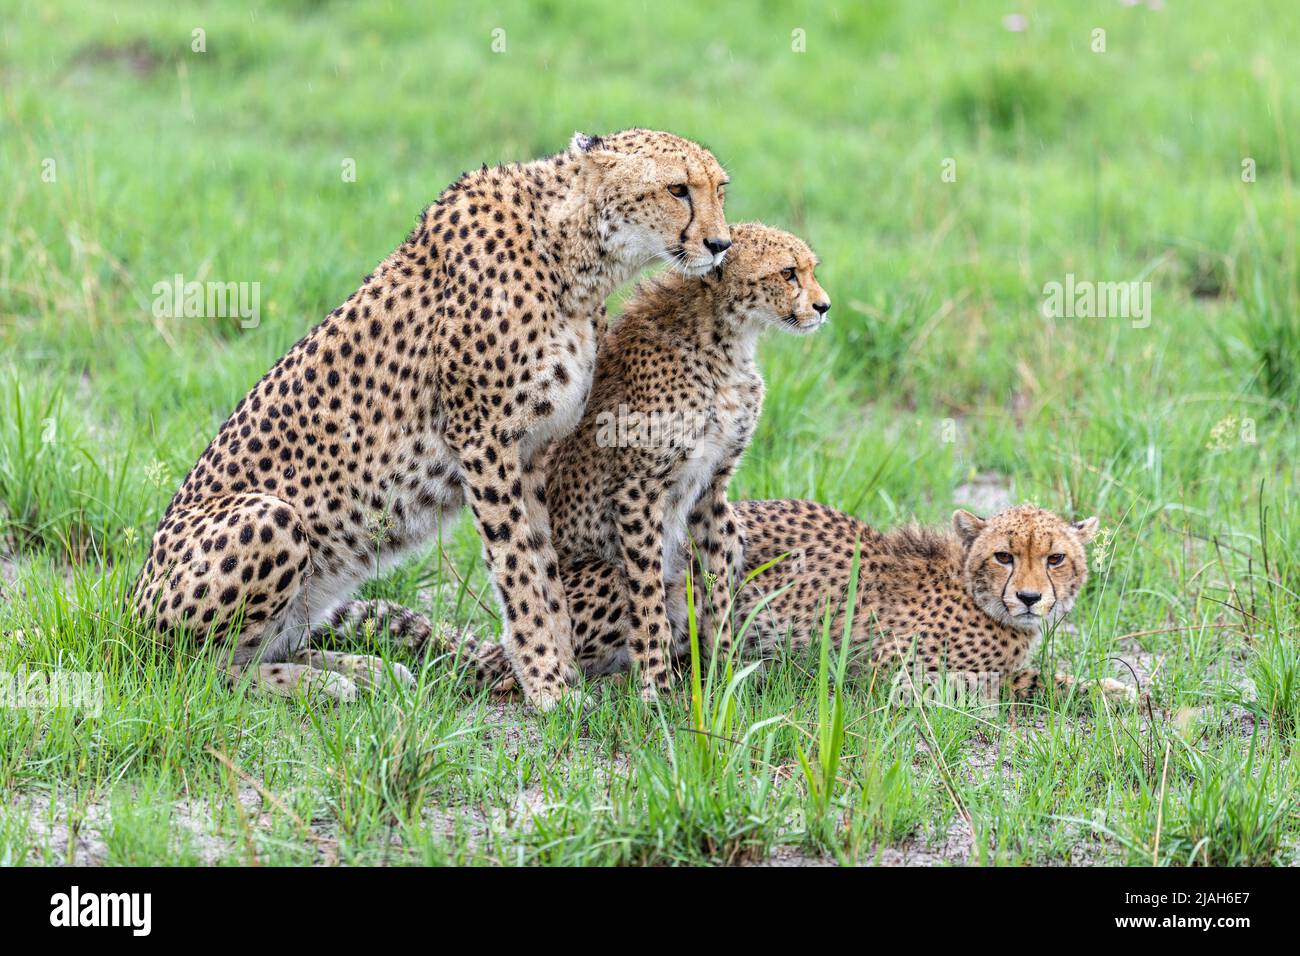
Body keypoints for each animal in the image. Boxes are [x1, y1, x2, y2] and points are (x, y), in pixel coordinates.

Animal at [130, 128, 733, 712]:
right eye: (678, 189)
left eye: (719, 189)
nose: (720, 244)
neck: (574, 252)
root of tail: (127, 611)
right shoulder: (483, 439)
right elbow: (517, 568)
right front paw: (549, 687)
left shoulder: (532, 451)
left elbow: (545, 571)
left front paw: (556, 669)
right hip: (270, 517)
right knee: (193, 675)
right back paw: (321, 683)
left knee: (264, 646)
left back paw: (363, 670)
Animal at [452, 227, 826, 697]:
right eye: (788, 272)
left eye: (811, 269)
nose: (824, 306)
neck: (725, 337)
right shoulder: (637, 490)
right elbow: (648, 595)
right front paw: (657, 690)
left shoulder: (712, 492)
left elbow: (720, 588)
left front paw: (724, 677)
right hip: (598, 580)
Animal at [462, 496, 1133, 707]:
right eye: (1003, 556)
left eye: (1055, 558)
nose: (1030, 598)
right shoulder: (890, 670)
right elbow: (1014, 682)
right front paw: (1119, 693)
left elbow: (1040, 674)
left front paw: (1117, 689)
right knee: (516, 668)